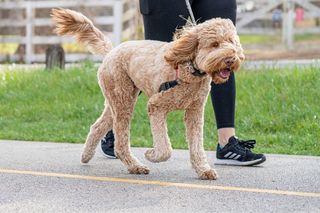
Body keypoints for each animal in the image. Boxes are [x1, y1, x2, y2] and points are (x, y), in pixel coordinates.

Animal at [52, 8, 245, 180]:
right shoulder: (156, 106)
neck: (188, 69)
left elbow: (196, 145)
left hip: (118, 100)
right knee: (121, 142)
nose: (231, 59)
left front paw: (203, 170)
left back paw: (86, 155)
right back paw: (135, 166)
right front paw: (151, 154)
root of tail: (111, 52)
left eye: (231, 41)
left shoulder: (195, 112)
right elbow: (165, 149)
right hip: (123, 100)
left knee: (98, 127)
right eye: (214, 44)